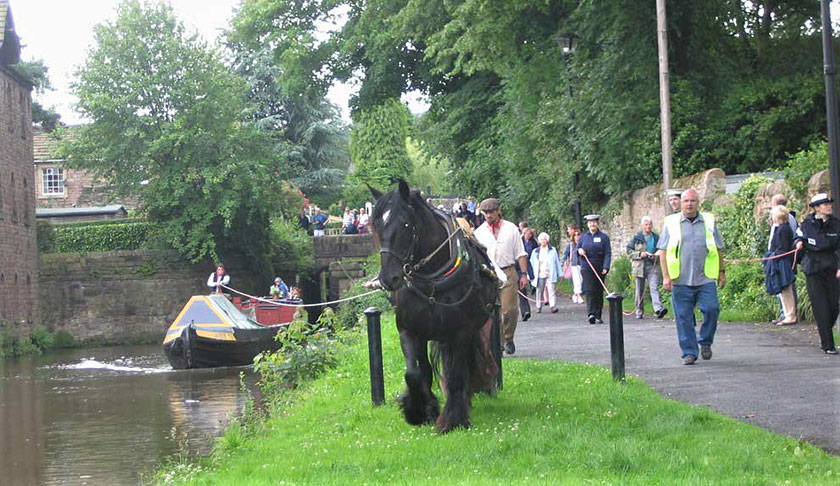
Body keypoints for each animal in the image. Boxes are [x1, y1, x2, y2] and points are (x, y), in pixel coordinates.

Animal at [370, 180, 498, 430]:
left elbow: (456, 375)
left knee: (460, 368)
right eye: (377, 225)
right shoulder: (410, 331)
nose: (388, 278)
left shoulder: (460, 332)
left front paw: (451, 419)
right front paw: (419, 410)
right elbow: (415, 373)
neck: (432, 281)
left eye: (405, 224)